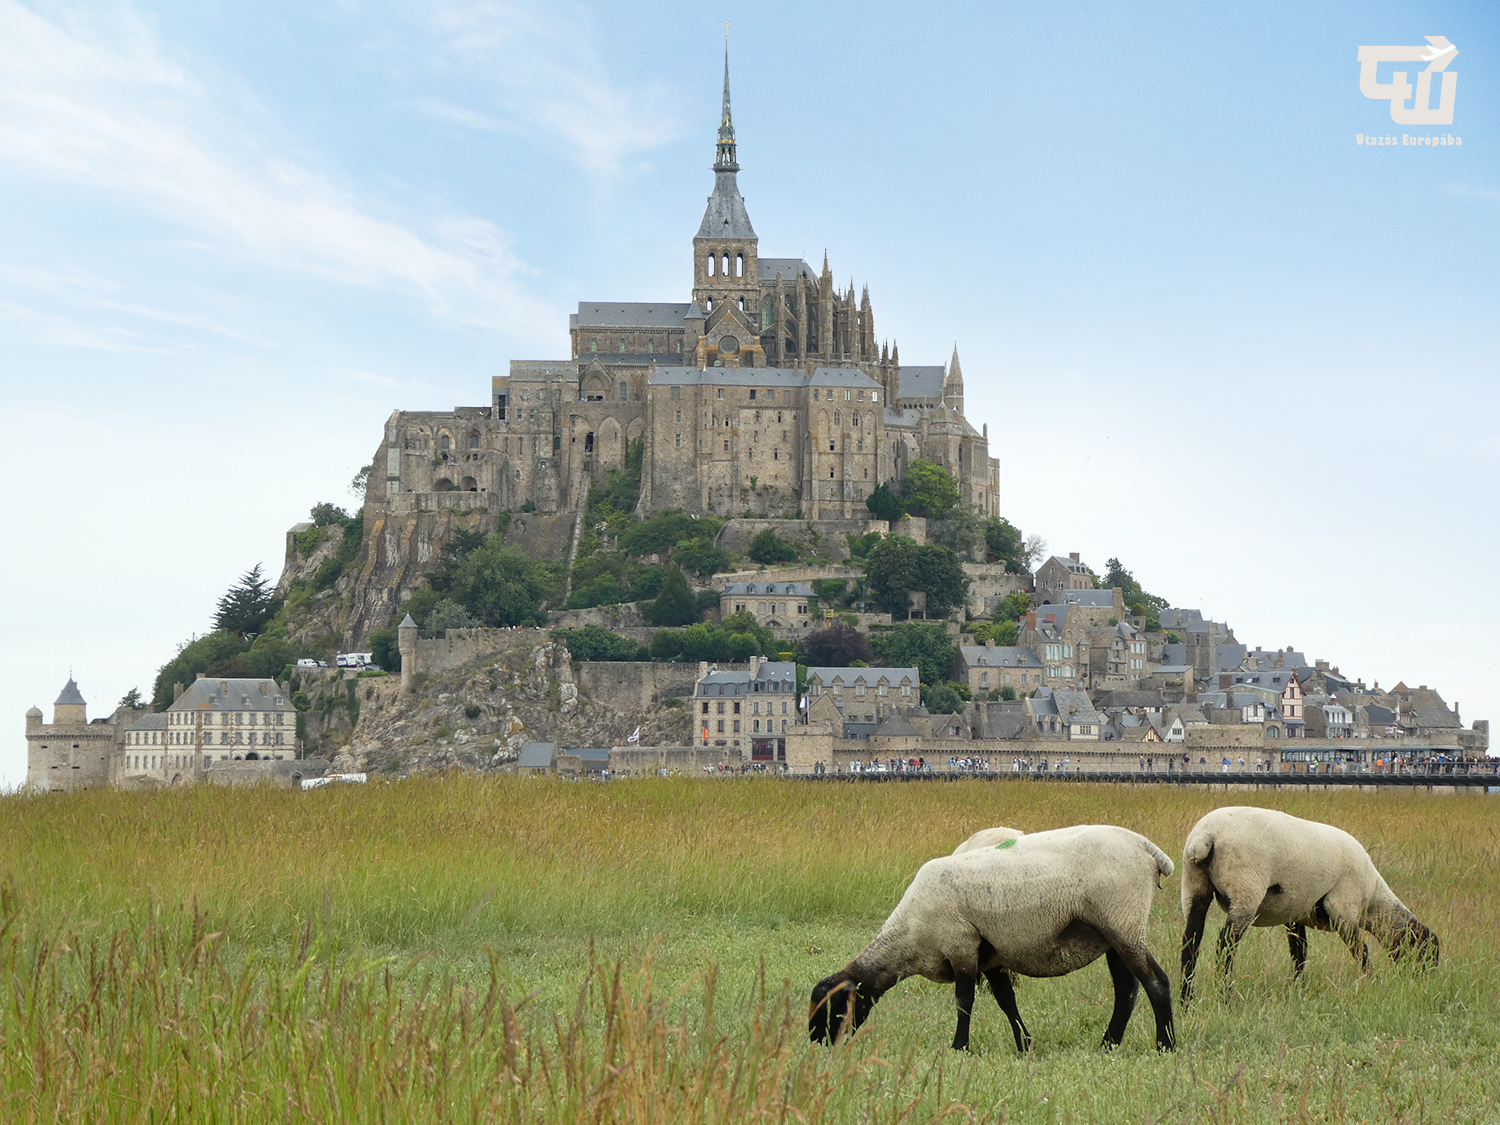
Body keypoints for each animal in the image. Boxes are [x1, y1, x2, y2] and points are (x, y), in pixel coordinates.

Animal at [804, 828, 1176, 1056]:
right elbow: (1006, 1001)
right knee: (1127, 991)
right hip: (1111, 934)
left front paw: (959, 1047)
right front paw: (1025, 1045)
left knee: (1156, 983)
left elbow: (963, 1001)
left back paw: (1166, 1045)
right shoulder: (992, 957)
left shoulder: (961, 944)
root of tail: (1148, 849)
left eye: (834, 1008)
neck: (908, 937)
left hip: (1123, 923)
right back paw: (1108, 1045)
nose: (818, 1045)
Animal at [1176, 804, 1434, 1008]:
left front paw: (1296, 988)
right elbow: (1361, 951)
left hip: (1194, 886)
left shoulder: (1294, 915)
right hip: (1245, 888)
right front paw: (1373, 982)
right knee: (1225, 945)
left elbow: (1300, 953)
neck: (1372, 901)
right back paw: (1225, 997)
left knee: (1190, 944)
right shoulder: (1343, 909)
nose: (1424, 981)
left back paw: (1186, 1001)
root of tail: (1206, 837)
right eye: (1427, 953)